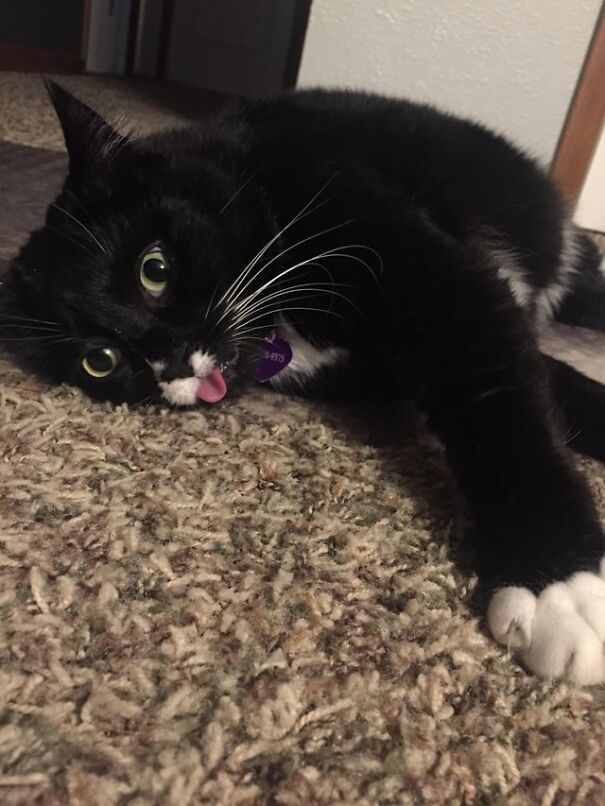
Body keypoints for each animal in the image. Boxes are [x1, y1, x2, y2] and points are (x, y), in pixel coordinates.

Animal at [1, 82, 604, 684]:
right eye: (98, 360)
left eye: (155, 269)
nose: (172, 364)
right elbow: (542, 379)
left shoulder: (435, 277)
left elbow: (494, 391)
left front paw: (556, 586)